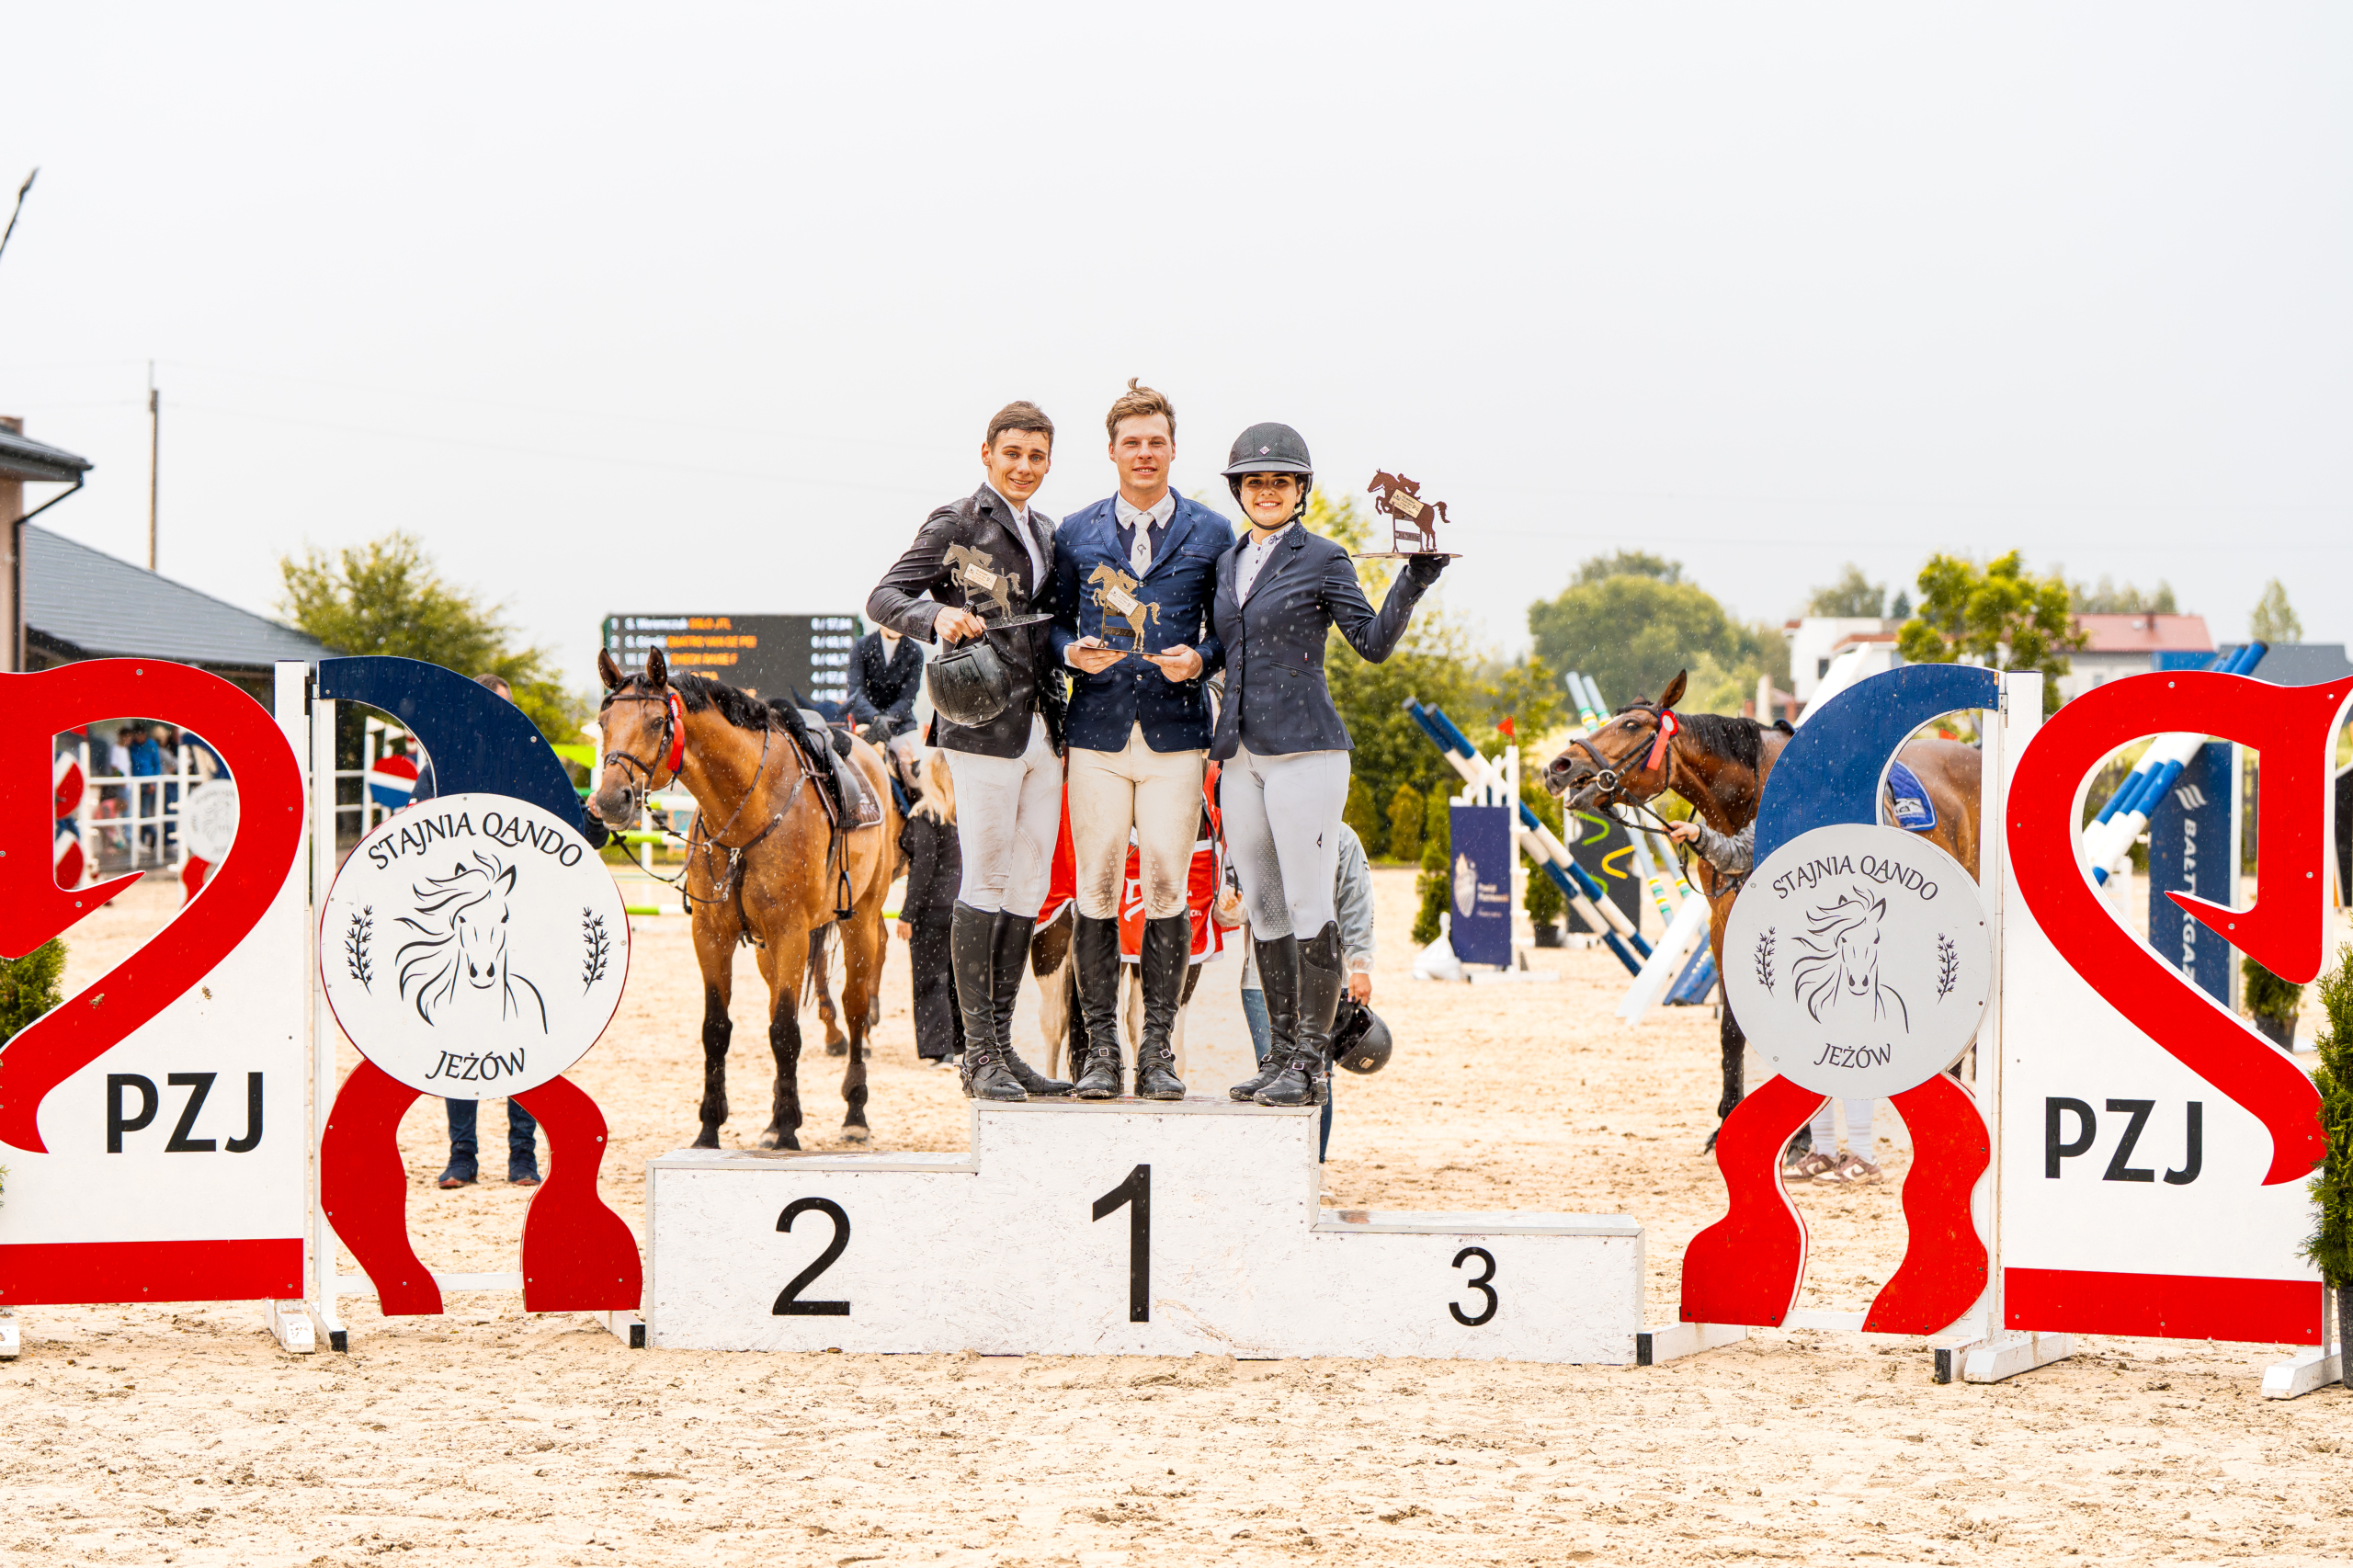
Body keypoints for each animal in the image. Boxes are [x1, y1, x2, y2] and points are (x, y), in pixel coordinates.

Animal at [589, 646, 901, 1149]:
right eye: (603, 722)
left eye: (656, 722)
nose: (611, 801)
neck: (747, 812)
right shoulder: (711, 935)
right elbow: (717, 1030)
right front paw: (710, 1130)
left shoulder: (791, 932)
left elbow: (785, 1031)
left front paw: (790, 1131)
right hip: (767, 949)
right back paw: (772, 1122)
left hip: (860, 920)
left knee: (854, 1006)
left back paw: (854, 1112)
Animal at [1541, 668, 1982, 1145]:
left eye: (1632, 725)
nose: (1558, 767)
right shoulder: (1722, 926)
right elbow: (1732, 1028)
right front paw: (1727, 1121)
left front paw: (1801, 1137)